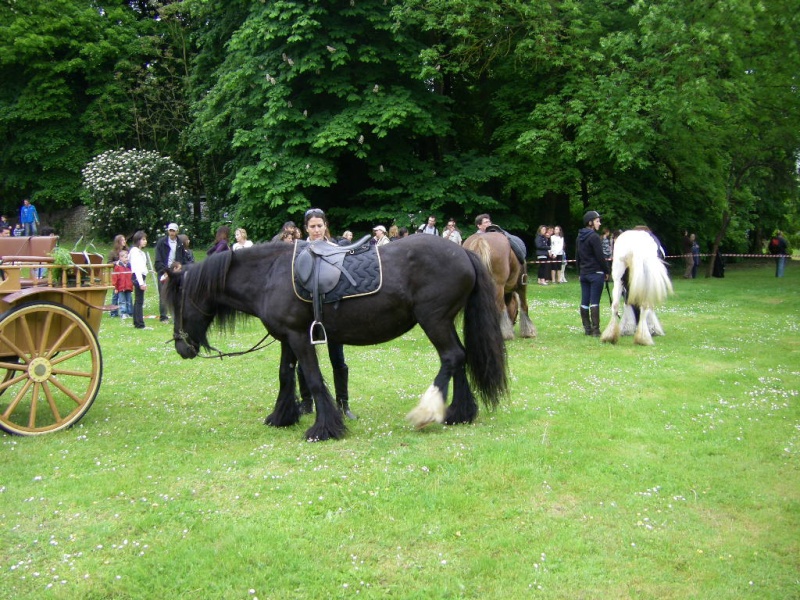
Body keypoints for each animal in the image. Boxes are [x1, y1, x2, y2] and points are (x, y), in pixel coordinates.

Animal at [164, 234, 506, 440]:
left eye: (178, 303)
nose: (181, 346)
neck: (269, 275)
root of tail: (464, 252)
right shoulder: (287, 338)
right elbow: (286, 376)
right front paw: (282, 416)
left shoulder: (299, 337)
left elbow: (314, 380)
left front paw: (323, 428)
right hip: (444, 322)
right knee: (459, 358)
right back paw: (459, 413)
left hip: (434, 320)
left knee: (451, 357)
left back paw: (427, 412)